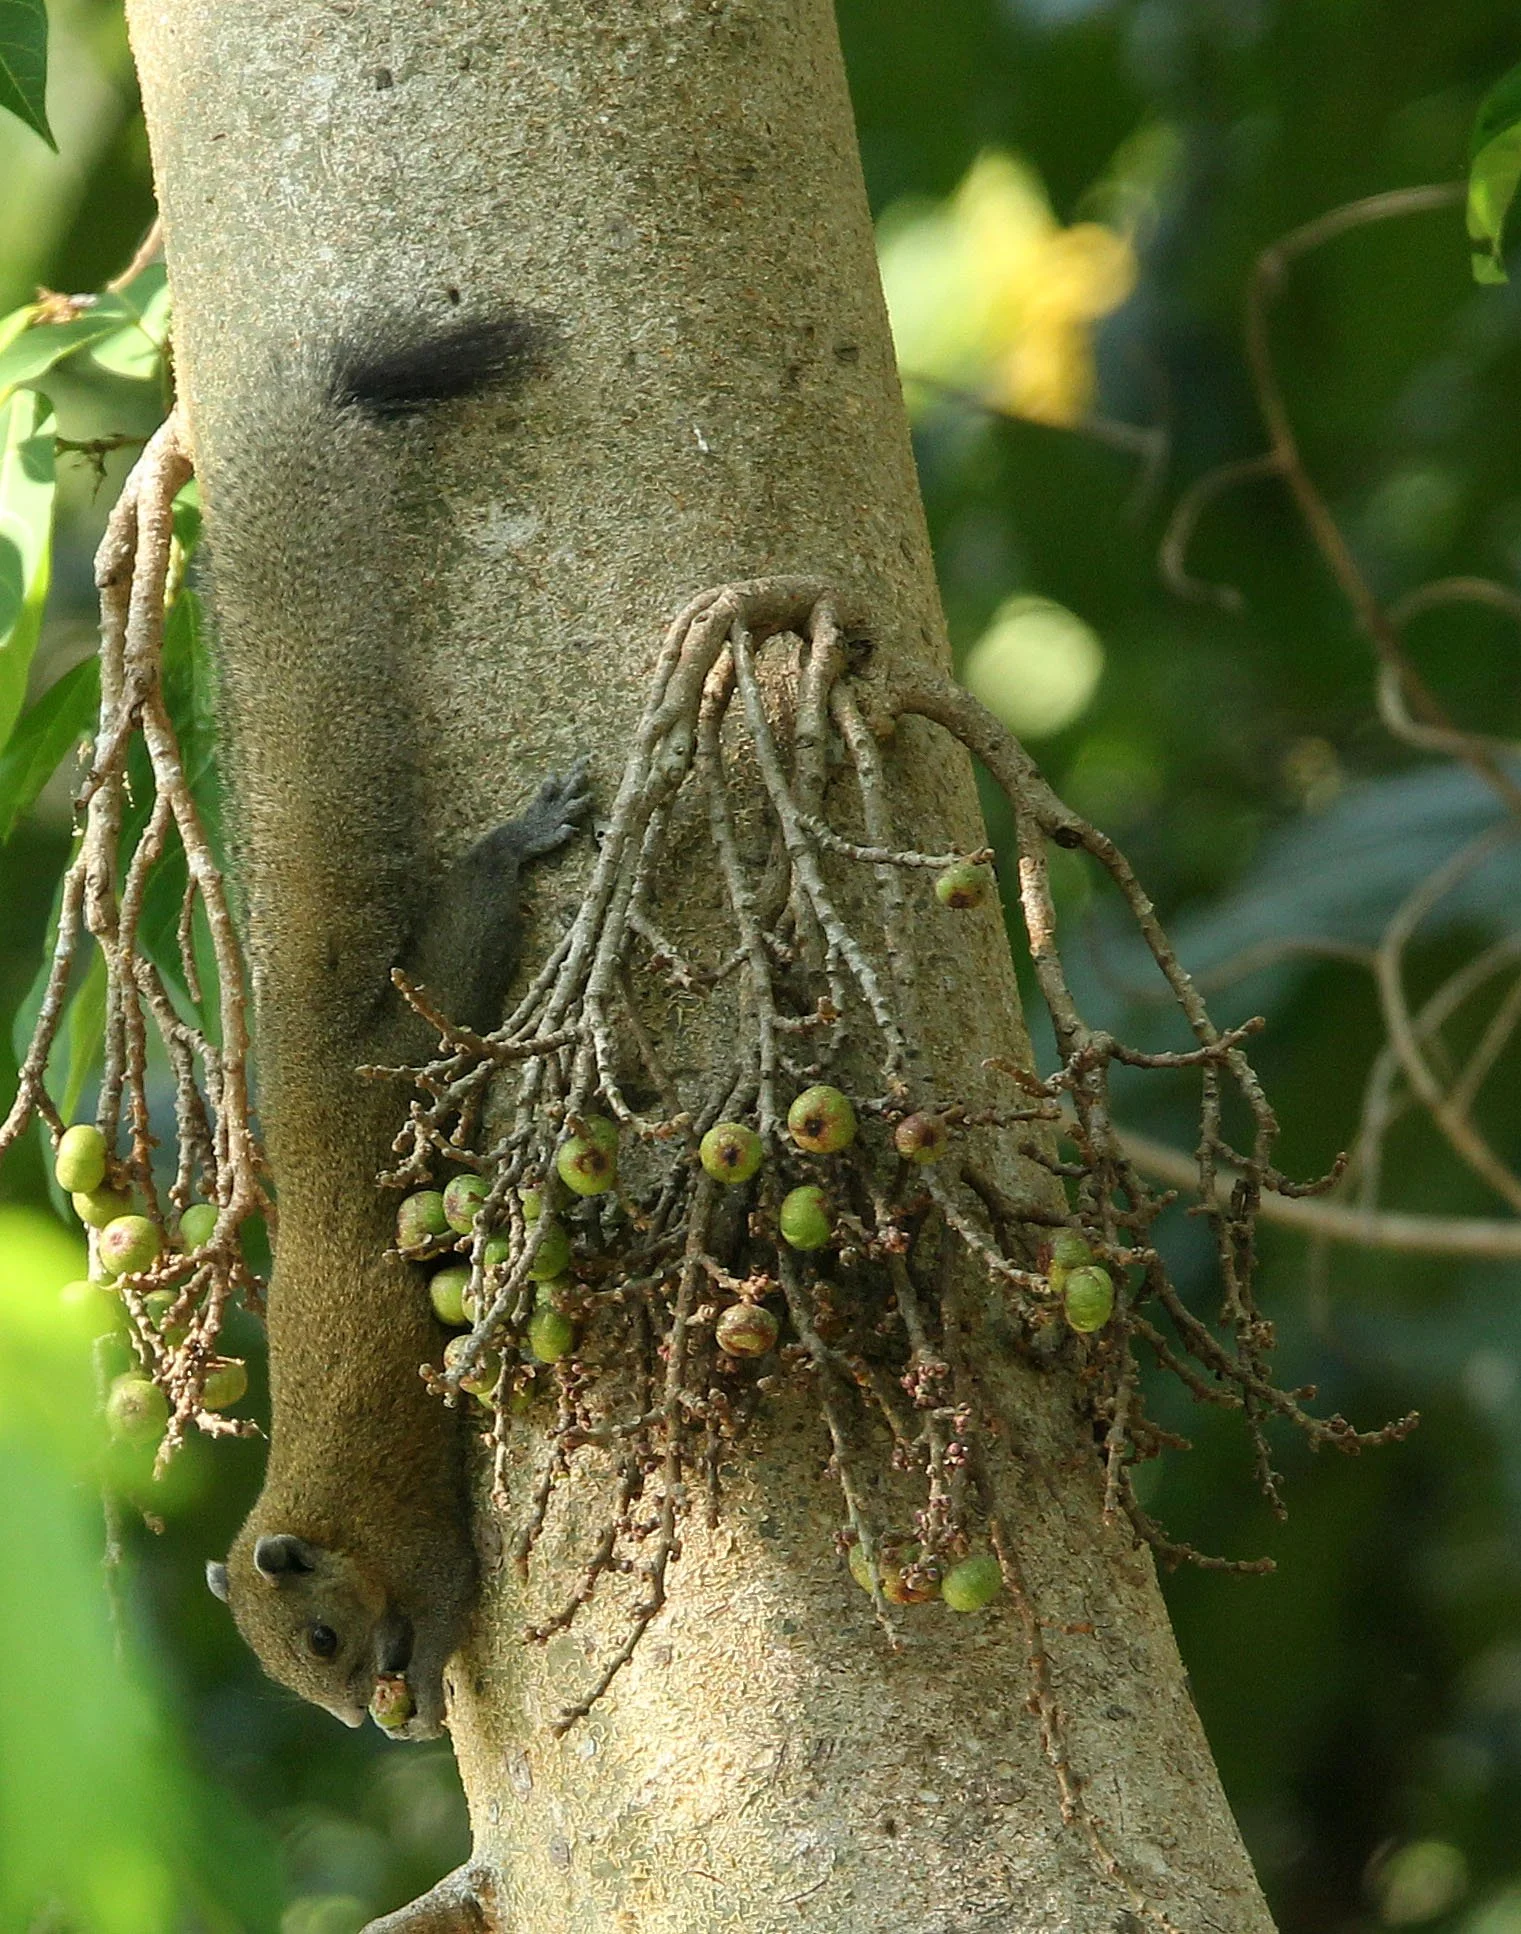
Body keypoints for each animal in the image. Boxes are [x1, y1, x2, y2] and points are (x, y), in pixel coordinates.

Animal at [198, 312, 589, 1739]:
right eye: (293, 1676)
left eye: (321, 1632)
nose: (357, 1718)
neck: (329, 1518)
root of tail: (309, 1072)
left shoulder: (422, 1540)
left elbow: (456, 1592)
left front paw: (417, 1689)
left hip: (432, 1038)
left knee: (472, 920)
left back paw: (522, 836)